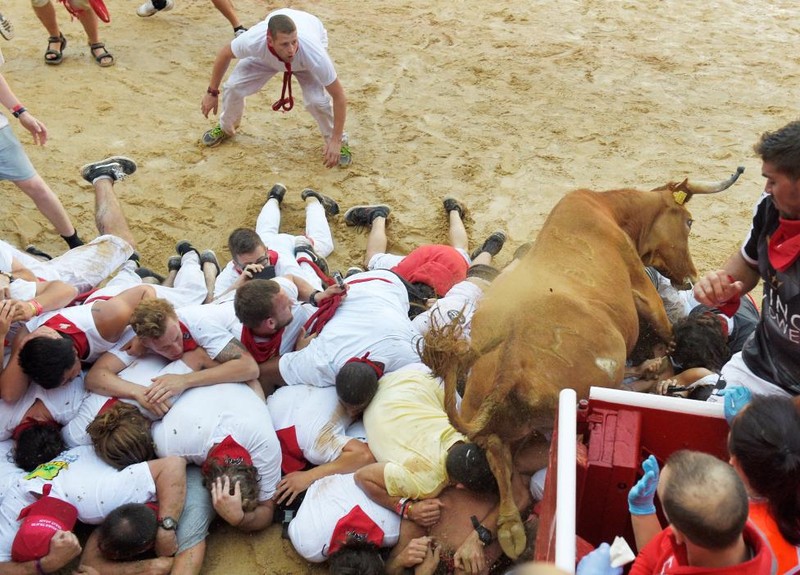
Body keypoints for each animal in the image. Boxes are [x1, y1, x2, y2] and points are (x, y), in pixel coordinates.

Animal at [424, 165, 744, 560]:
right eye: (688, 221)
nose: (691, 277)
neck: (609, 210)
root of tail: (513, 363)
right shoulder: (644, 290)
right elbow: (666, 330)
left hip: (490, 423)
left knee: (499, 460)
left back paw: (511, 529)